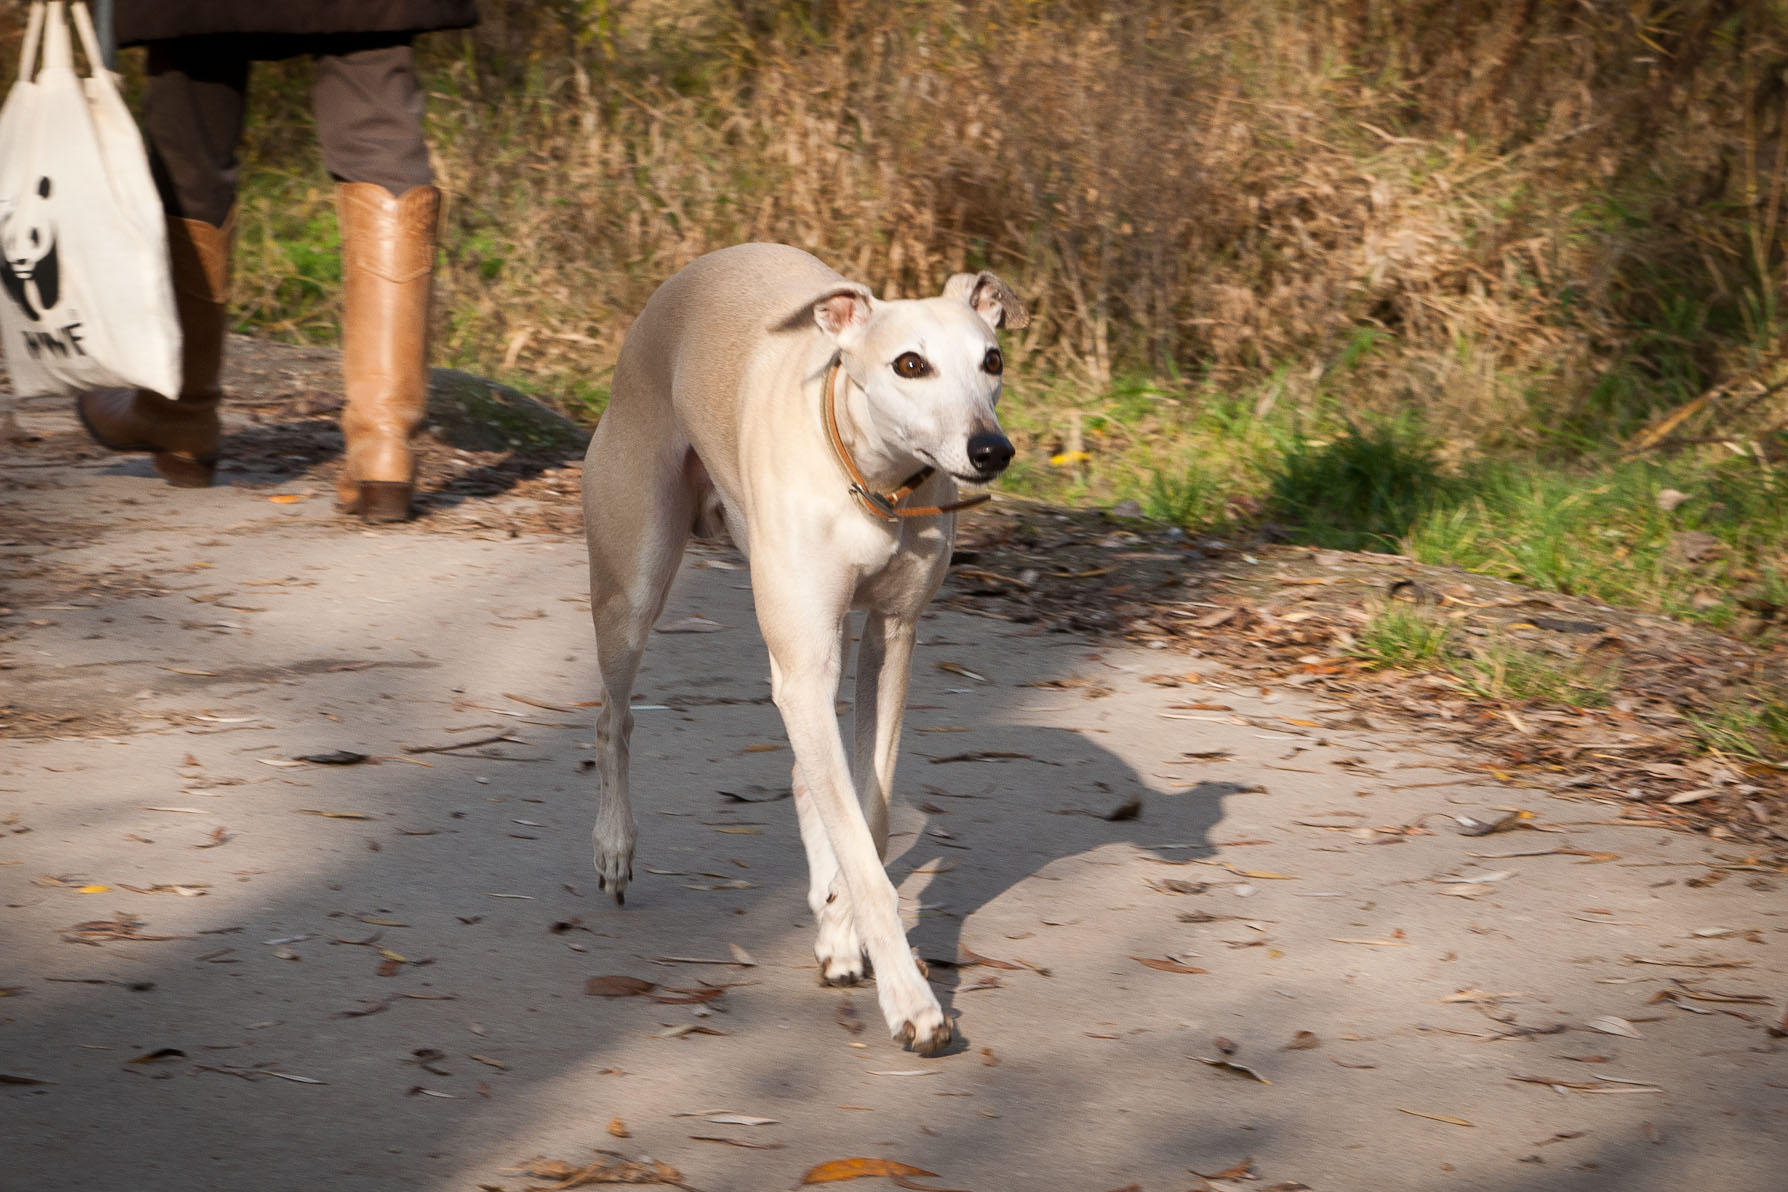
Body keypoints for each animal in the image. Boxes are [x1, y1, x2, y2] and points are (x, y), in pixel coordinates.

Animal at [581, 243, 1027, 1054]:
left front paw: (844, 929)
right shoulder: (808, 658)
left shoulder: (891, 638)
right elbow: (861, 846)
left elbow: (867, 816)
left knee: (804, 770)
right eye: (910, 363)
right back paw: (615, 846)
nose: (991, 449)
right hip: (635, 579)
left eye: (992, 358)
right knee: (614, 717)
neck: (870, 478)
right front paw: (912, 1001)